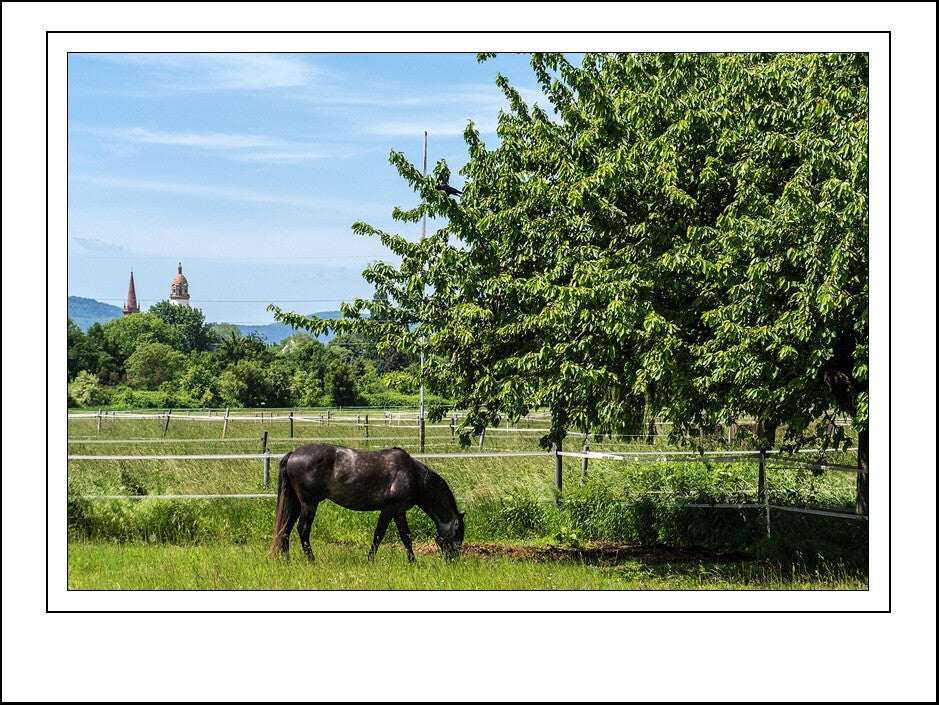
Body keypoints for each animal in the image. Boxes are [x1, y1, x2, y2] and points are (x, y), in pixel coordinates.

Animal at [269, 443, 465, 562]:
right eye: (457, 537)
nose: (453, 561)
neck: (414, 475)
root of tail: (293, 453)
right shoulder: (389, 509)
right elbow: (379, 535)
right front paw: (370, 560)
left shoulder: (399, 511)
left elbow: (406, 537)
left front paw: (413, 562)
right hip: (309, 504)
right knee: (303, 529)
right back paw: (312, 560)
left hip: (296, 503)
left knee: (285, 528)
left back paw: (287, 560)